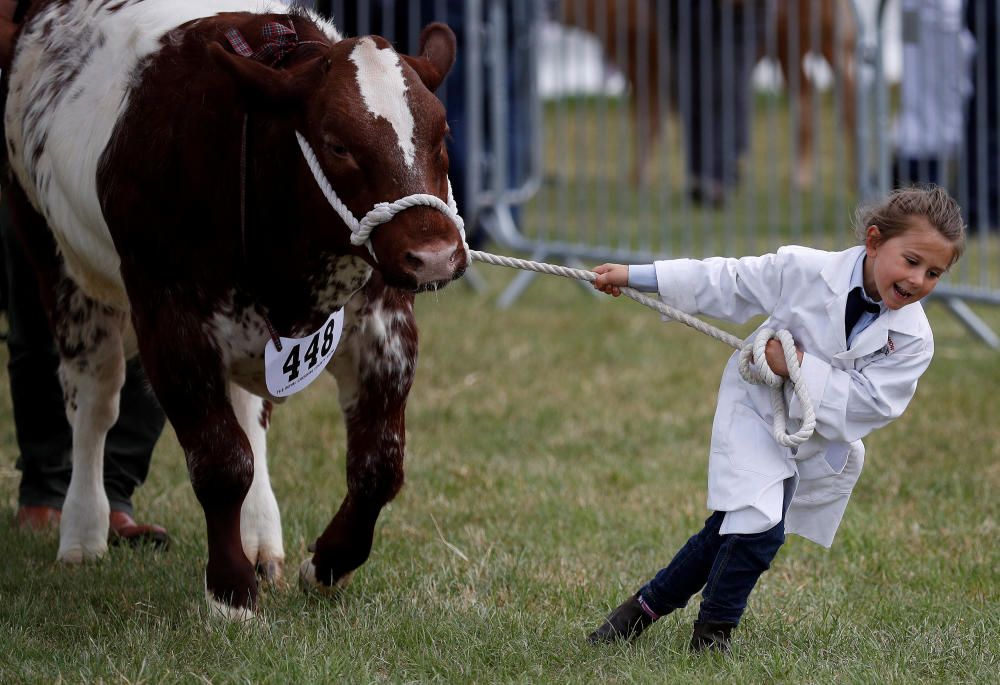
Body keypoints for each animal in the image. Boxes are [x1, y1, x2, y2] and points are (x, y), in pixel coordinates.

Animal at [0, 1, 468, 620]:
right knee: (93, 405)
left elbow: (379, 465)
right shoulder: (169, 323)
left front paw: (327, 563)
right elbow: (221, 462)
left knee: (249, 416)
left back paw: (260, 536)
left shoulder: (384, 326)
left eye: (443, 131)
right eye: (337, 143)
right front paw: (230, 589)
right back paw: (81, 531)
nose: (434, 255)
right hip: (57, 263)